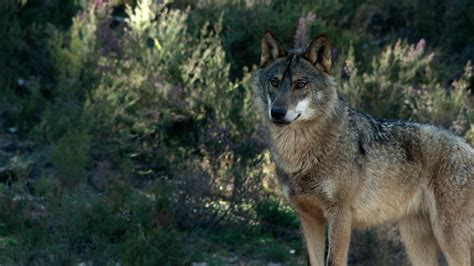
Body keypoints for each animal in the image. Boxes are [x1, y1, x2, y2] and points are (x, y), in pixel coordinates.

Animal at [254, 31, 474, 266]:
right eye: (274, 82)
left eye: (300, 84)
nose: (277, 112)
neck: (300, 154)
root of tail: (468, 147)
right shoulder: (307, 218)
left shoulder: (340, 216)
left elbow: (334, 261)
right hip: (415, 240)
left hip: (448, 237)